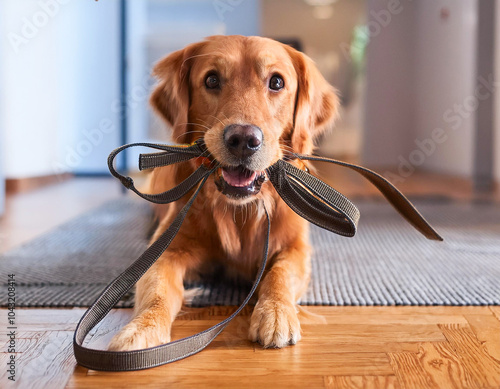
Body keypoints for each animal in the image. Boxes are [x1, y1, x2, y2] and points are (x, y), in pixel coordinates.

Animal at [109, 34, 340, 350]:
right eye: (212, 80)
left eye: (276, 82)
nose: (243, 140)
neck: (238, 210)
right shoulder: (167, 251)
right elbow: (157, 290)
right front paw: (142, 330)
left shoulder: (295, 247)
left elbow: (279, 274)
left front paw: (276, 313)